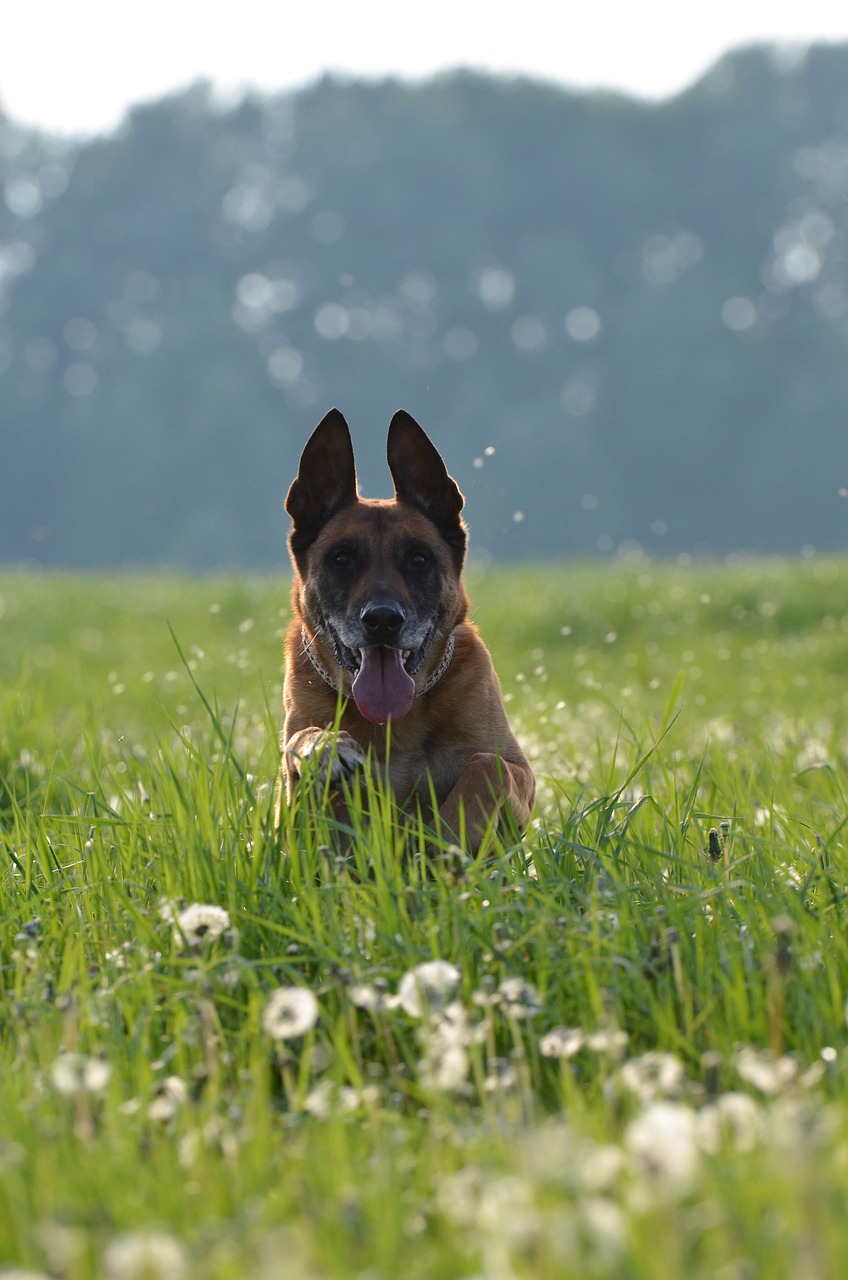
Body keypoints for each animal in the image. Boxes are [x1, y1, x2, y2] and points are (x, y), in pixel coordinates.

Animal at [280, 409, 538, 849]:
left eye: (418, 558)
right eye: (342, 558)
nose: (383, 620)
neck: (395, 725)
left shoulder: (519, 770)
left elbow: (488, 767)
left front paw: (448, 841)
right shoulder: (294, 810)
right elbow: (302, 742)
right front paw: (326, 745)